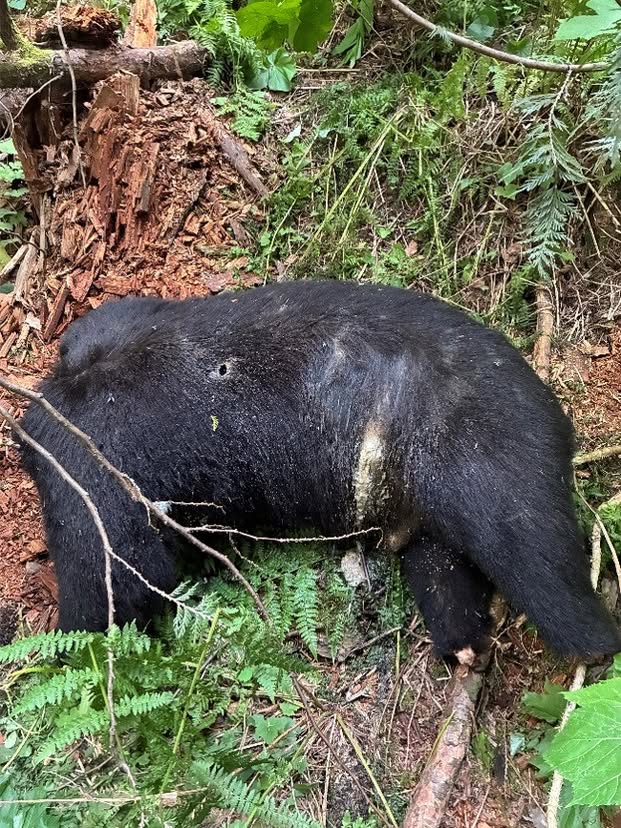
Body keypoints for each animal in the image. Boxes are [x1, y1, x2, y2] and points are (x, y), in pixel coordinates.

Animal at [18, 280, 621, 661]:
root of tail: (557, 416)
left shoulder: (96, 479)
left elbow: (115, 586)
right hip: (431, 493)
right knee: (443, 568)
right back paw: (464, 644)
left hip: (485, 455)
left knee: (535, 559)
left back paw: (594, 642)